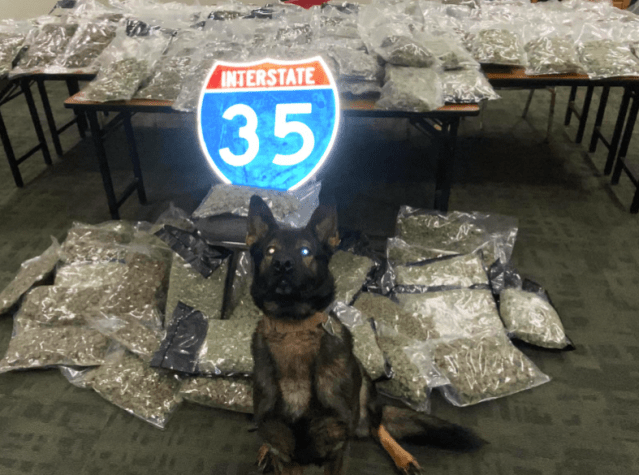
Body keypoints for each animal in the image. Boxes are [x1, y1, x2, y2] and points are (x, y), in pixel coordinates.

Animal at [247, 195, 482, 475]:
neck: (293, 328)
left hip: (366, 388)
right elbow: (276, 446)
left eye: (305, 251)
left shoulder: (337, 448)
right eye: (270, 251)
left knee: (375, 426)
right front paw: (265, 449)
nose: (282, 264)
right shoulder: (284, 454)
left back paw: (402, 456)